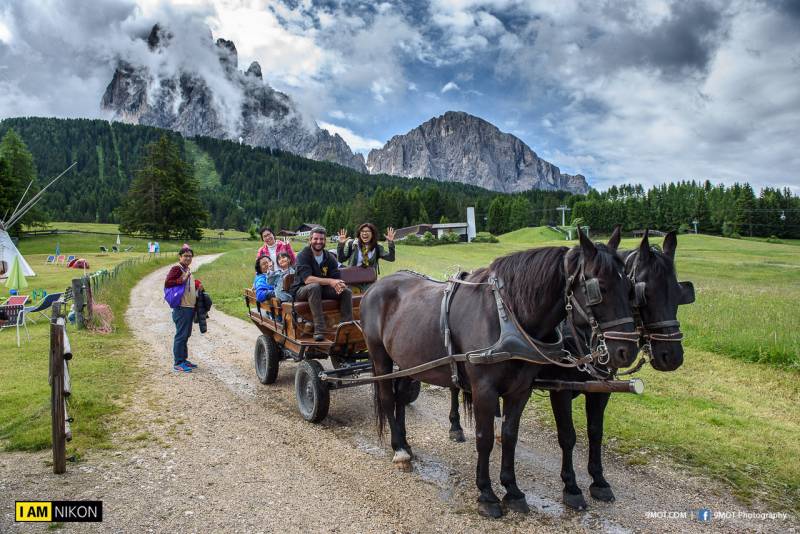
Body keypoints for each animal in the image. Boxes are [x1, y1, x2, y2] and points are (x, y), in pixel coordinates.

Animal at [360, 229, 636, 520]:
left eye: (629, 288)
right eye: (598, 289)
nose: (626, 350)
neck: (507, 317)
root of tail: (375, 287)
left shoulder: (520, 390)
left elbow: (510, 436)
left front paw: (512, 490)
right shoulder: (484, 390)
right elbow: (485, 438)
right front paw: (487, 494)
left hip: (408, 361)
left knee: (400, 397)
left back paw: (404, 442)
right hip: (380, 356)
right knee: (387, 398)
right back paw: (399, 450)